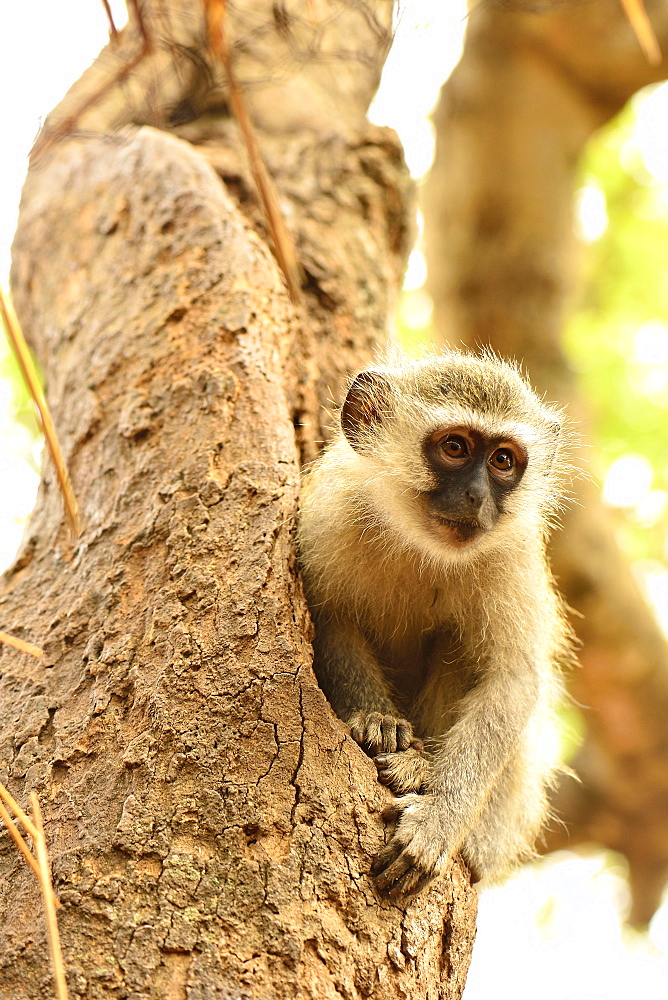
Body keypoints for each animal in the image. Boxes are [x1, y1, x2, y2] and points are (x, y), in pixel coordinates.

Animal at [298, 350, 576, 892]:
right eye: (454, 447)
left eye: (502, 461)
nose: (476, 498)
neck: (420, 544)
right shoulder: (327, 516)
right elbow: (332, 619)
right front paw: (377, 721)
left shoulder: (512, 556)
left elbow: (511, 681)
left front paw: (439, 820)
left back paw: (422, 771)